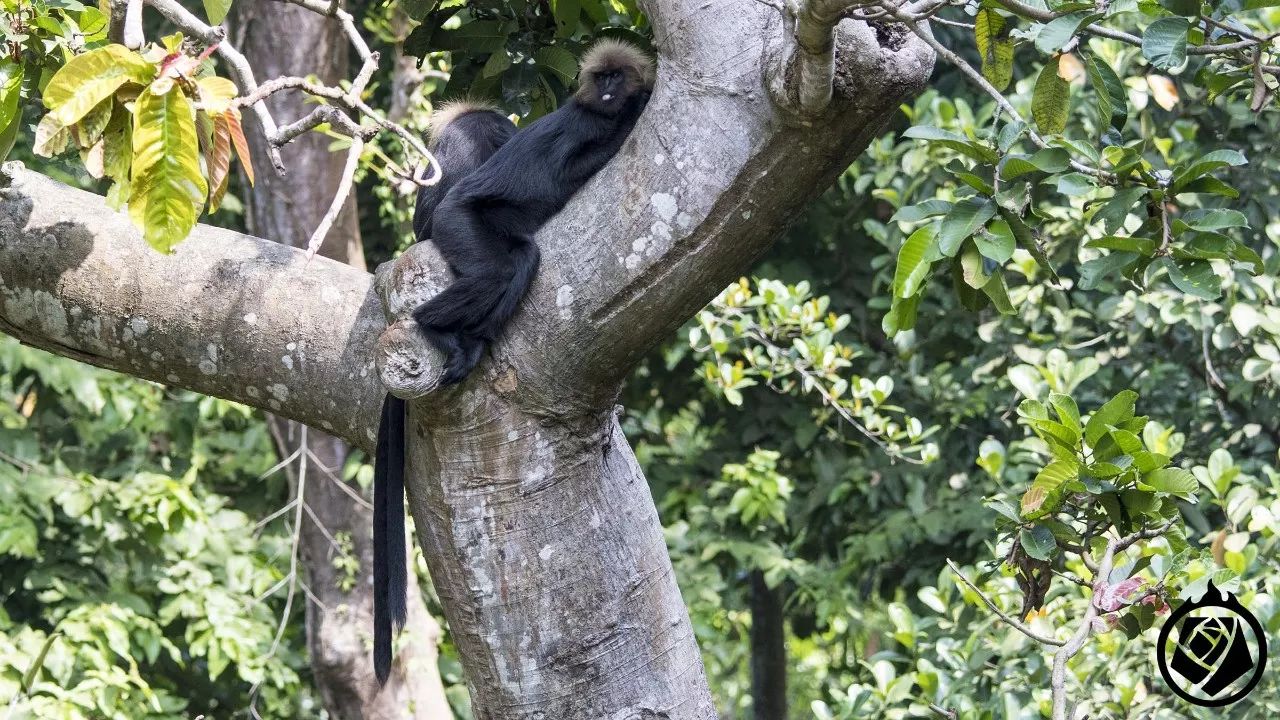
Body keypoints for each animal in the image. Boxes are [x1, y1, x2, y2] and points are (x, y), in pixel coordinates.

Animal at [371, 41, 650, 681]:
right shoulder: (583, 124)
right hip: (461, 227)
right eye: (603, 79)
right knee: (510, 258)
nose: (607, 92)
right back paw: (433, 326)